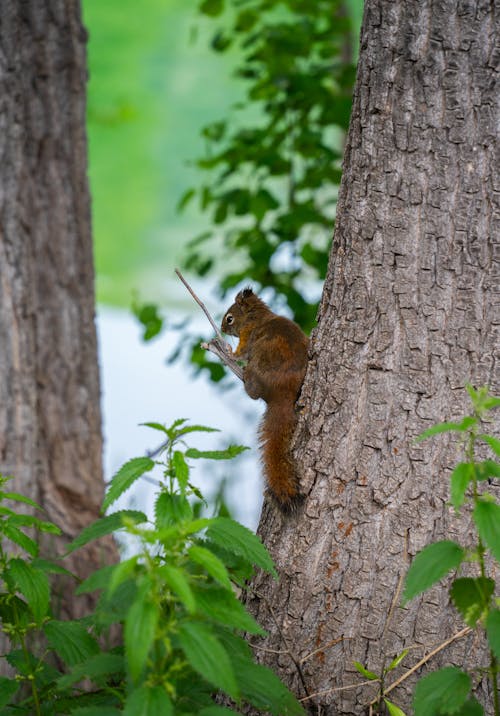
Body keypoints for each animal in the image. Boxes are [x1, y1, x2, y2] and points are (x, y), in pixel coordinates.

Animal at [222, 288, 308, 512]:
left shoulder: (247, 335)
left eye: (229, 318)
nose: (222, 329)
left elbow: (240, 353)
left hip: (256, 369)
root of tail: (282, 394)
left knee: (253, 391)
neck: (256, 316)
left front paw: (227, 352)